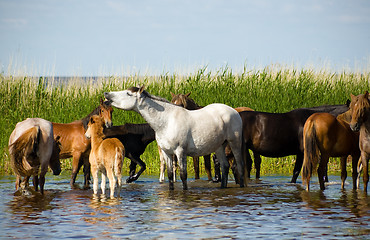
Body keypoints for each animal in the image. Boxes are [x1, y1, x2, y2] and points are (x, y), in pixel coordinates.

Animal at [104, 86, 246, 189]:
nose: (106, 94)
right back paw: (222, 187)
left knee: (239, 166)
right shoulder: (167, 152)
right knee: (225, 166)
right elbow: (170, 175)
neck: (166, 121)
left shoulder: (180, 151)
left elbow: (183, 175)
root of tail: (234, 111)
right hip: (219, 146)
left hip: (234, 143)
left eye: (128, 93)